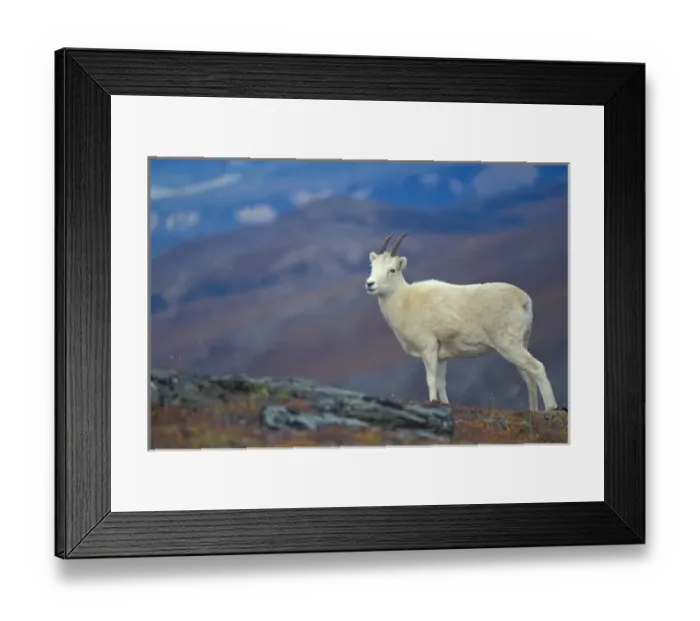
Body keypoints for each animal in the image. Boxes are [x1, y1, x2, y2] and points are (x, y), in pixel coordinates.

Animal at [365, 232, 562, 414]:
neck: (403, 300)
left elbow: (431, 380)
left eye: (392, 270)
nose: (370, 284)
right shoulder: (441, 357)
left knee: (537, 368)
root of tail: (523, 299)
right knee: (529, 378)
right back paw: (533, 412)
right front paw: (444, 405)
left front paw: (433, 403)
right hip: (521, 345)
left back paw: (551, 408)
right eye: (372, 267)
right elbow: (441, 383)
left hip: (510, 346)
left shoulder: (428, 348)